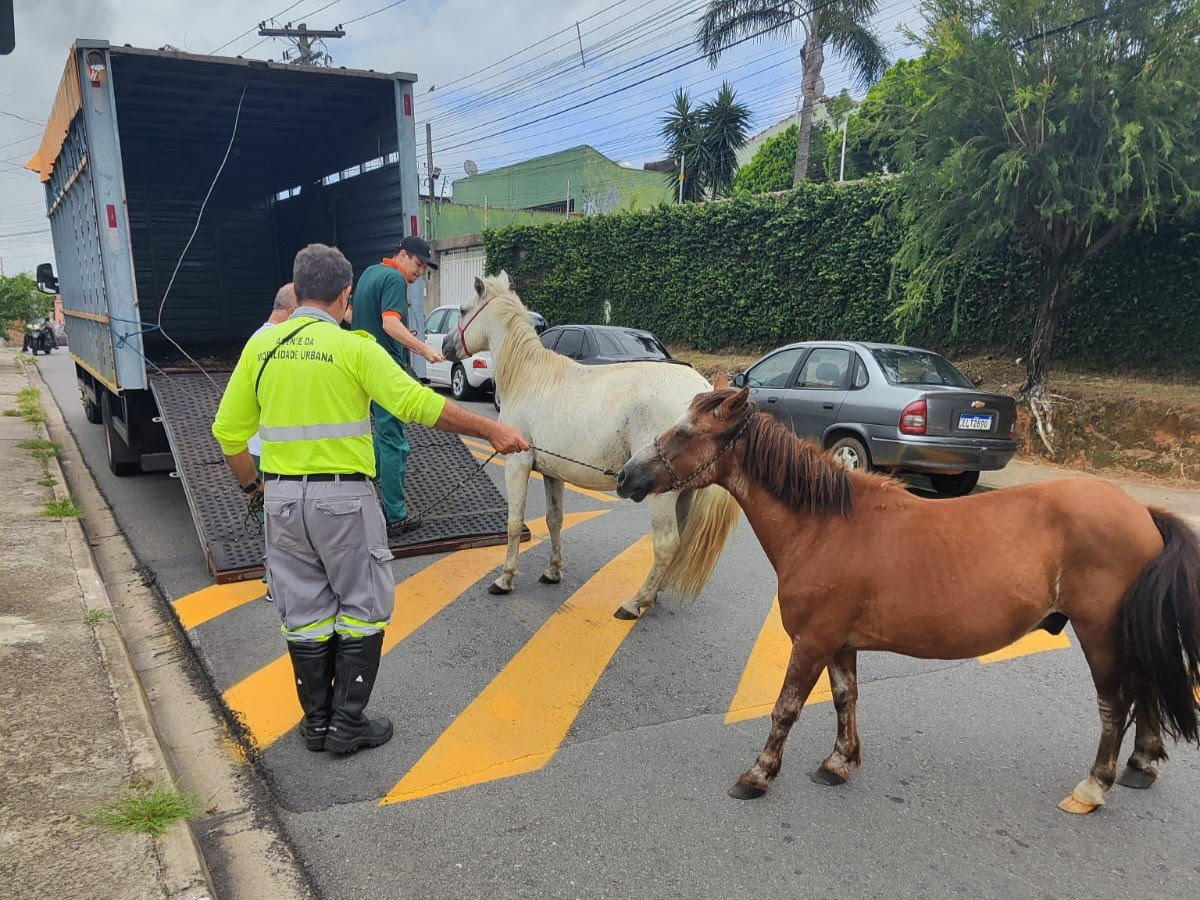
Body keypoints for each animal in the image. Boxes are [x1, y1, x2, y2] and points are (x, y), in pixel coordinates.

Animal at [441, 273, 739, 619]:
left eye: (463, 310)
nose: (446, 346)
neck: (531, 379)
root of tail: (704, 390)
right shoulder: (551, 473)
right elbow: (554, 521)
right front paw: (553, 572)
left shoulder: (518, 463)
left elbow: (514, 524)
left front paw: (505, 579)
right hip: (683, 494)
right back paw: (653, 594)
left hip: (661, 495)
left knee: (666, 544)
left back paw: (634, 603)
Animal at [614, 388, 1195, 816]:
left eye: (684, 432)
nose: (625, 477)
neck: (824, 525)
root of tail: (1142, 513)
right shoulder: (840, 642)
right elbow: (845, 698)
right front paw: (838, 763)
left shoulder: (812, 641)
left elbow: (786, 708)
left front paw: (758, 774)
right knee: (1144, 692)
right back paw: (1142, 766)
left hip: (1100, 634)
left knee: (1115, 705)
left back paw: (1094, 787)